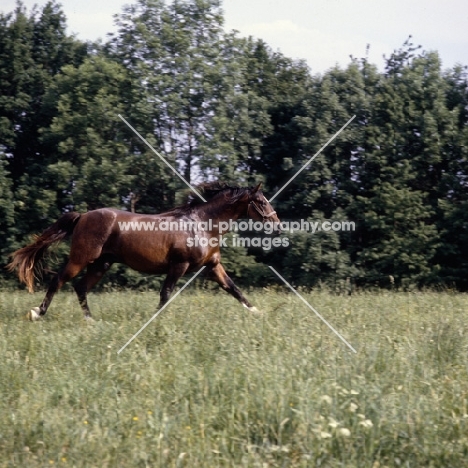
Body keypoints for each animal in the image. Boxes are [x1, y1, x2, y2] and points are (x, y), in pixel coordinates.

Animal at [8, 183, 282, 322]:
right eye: (261, 201)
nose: (277, 226)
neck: (202, 225)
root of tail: (83, 216)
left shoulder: (213, 266)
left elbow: (234, 290)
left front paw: (257, 313)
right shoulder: (179, 265)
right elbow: (166, 294)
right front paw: (154, 321)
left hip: (101, 264)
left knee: (80, 287)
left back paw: (91, 321)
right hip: (81, 259)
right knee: (58, 281)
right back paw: (37, 313)